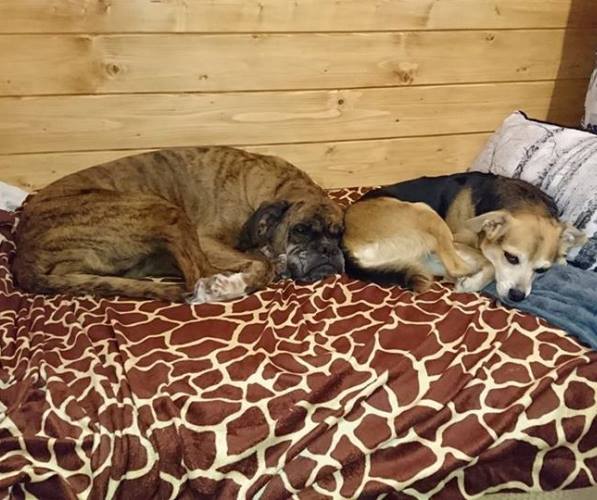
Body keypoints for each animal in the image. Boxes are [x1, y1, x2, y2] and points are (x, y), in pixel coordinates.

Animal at [13, 146, 345, 303]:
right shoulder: (207, 240)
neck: (275, 188)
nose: (329, 251)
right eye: (300, 230)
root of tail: (22, 253)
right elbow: (263, 265)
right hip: (164, 210)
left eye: (338, 234)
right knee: (198, 274)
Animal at [343, 172, 586, 301]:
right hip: (425, 211)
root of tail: (347, 244)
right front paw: (473, 282)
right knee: (457, 266)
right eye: (511, 257)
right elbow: (490, 264)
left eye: (542, 270)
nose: (517, 296)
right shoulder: (460, 240)